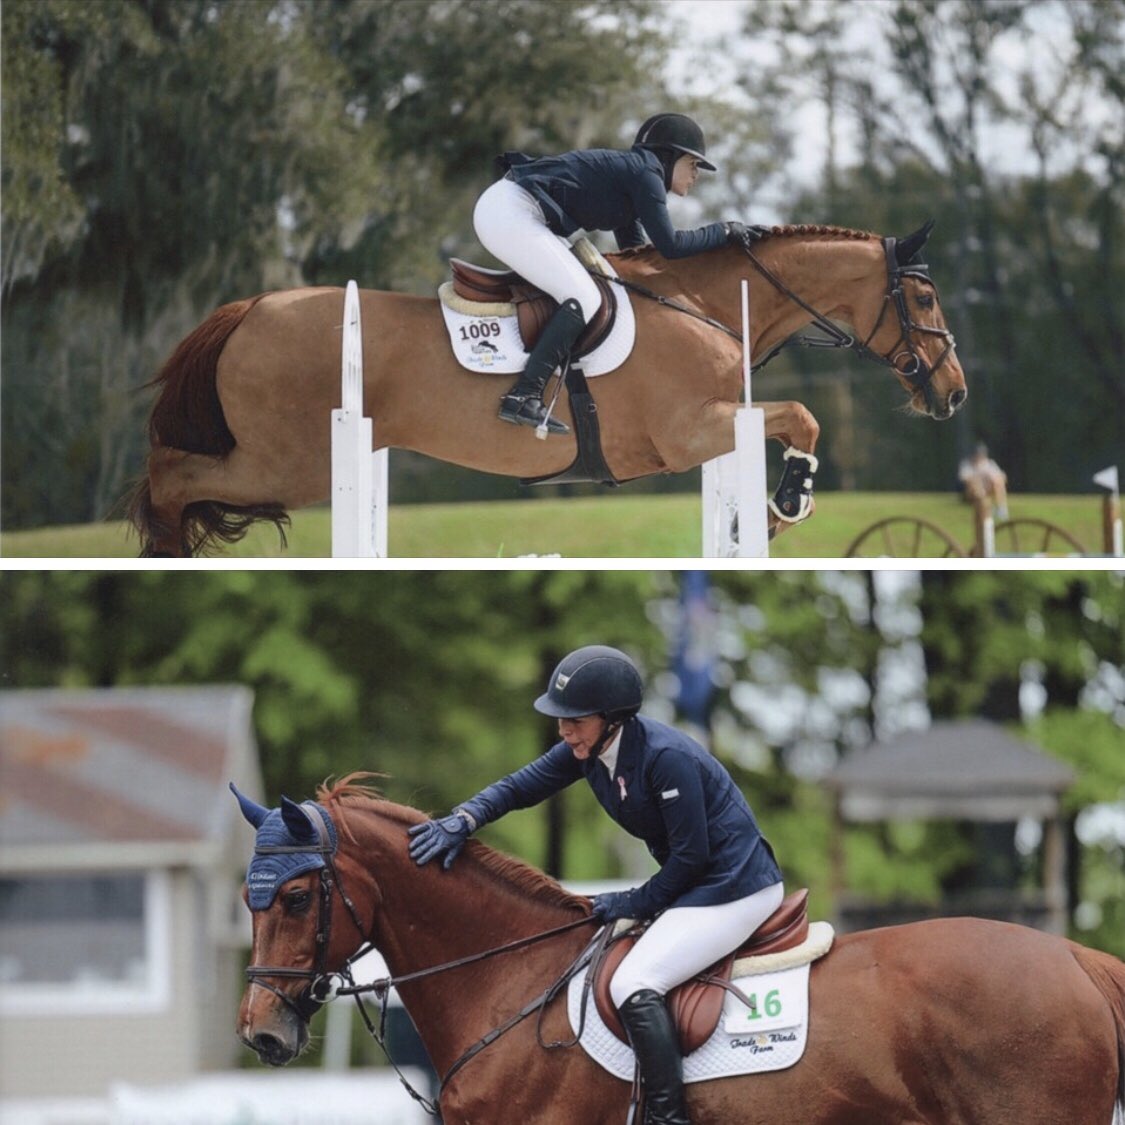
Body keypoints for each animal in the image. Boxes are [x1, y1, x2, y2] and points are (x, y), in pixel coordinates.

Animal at [127, 222, 966, 556]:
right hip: (287, 462)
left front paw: (769, 514)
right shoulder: (685, 430)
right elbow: (802, 415)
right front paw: (785, 501)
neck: (701, 301)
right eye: (925, 299)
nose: (953, 394)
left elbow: (792, 423)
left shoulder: (711, 425)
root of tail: (248, 308)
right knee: (169, 478)